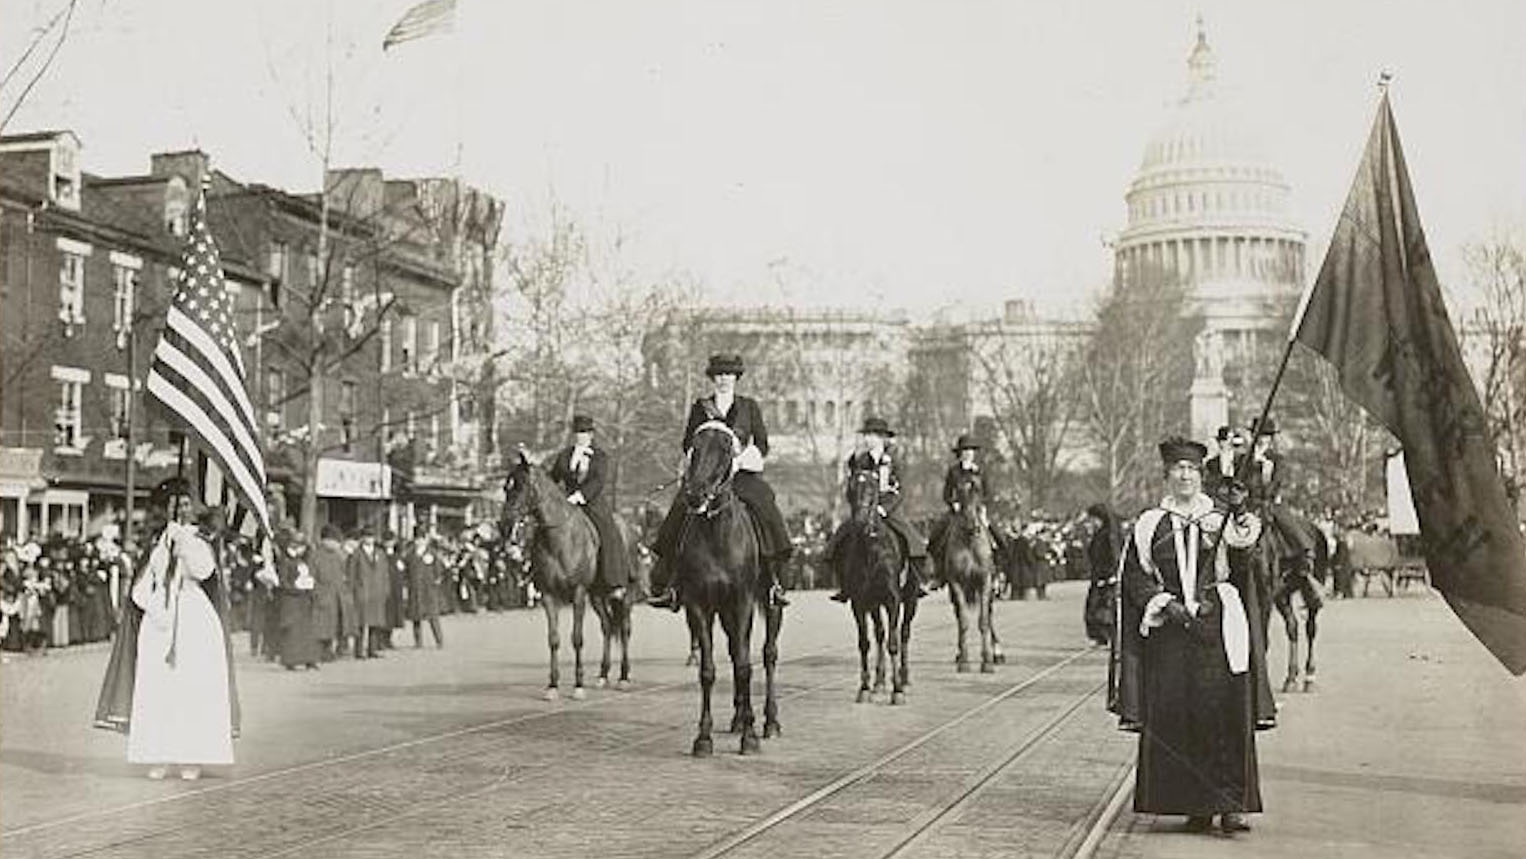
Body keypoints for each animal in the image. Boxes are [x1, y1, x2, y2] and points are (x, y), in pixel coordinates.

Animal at [503, 454, 634, 701]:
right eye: (506, 487)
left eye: (522, 486)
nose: (505, 523)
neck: (558, 538)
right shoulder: (548, 595)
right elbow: (554, 639)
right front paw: (553, 685)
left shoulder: (578, 592)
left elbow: (577, 637)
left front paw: (578, 685)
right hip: (597, 595)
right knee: (607, 626)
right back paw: (603, 675)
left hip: (624, 594)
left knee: (624, 628)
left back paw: (623, 677)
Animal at [674, 421, 781, 756]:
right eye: (694, 447)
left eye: (725, 449)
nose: (695, 494)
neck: (716, 533)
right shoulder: (700, 605)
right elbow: (708, 670)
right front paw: (703, 737)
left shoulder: (743, 601)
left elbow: (747, 666)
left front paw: (750, 737)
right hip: (724, 614)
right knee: (735, 652)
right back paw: (739, 716)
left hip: (769, 603)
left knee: (768, 654)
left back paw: (769, 721)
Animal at [836, 469, 915, 704]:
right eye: (850, 488)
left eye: (873, 487)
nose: (860, 521)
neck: (871, 549)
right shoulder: (860, 602)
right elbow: (865, 643)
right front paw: (864, 688)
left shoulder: (893, 600)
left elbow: (893, 643)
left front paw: (897, 690)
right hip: (874, 605)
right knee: (879, 634)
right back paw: (879, 682)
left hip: (910, 601)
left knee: (903, 633)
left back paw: (903, 679)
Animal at [940, 466, 1001, 674]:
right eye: (959, 492)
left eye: (978, 491)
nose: (972, 525)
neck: (968, 541)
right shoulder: (956, 583)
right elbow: (964, 621)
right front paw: (964, 661)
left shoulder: (985, 581)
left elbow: (983, 621)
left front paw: (987, 661)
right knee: (960, 616)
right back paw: (960, 654)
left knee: (989, 615)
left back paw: (997, 652)